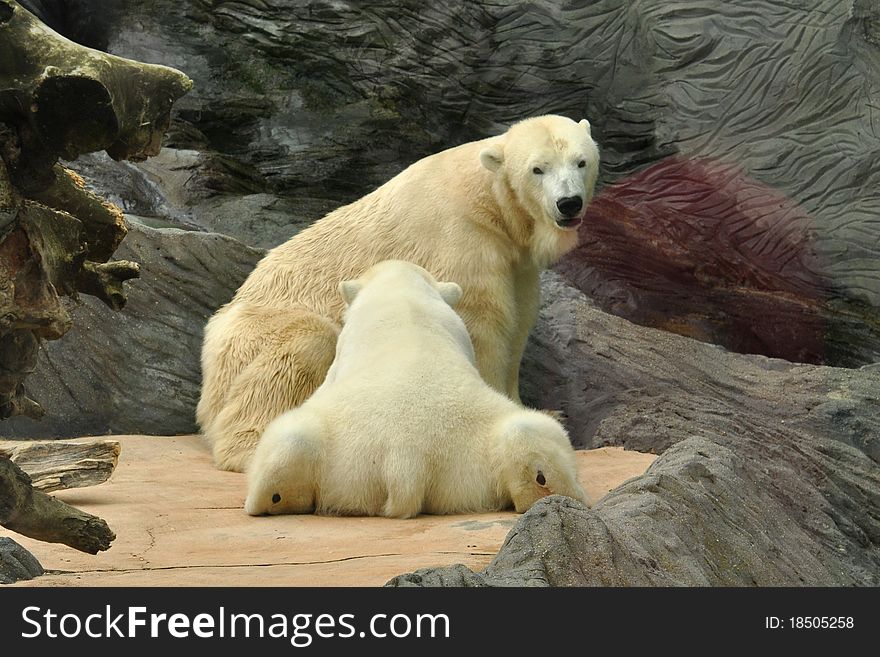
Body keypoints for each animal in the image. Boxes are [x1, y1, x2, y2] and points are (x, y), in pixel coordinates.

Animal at [199, 114, 600, 472]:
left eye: (581, 161)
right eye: (537, 169)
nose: (568, 203)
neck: (489, 200)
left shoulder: (515, 258)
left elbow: (519, 321)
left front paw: (541, 411)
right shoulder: (460, 238)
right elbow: (480, 323)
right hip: (255, 331)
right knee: (301, 349)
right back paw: (256, 447)